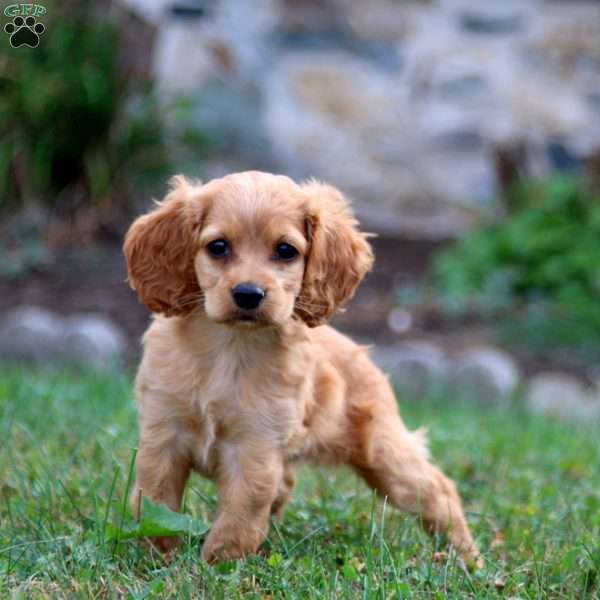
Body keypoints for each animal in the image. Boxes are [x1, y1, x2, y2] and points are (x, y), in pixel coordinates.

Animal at [124, 171, 480, 564]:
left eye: (285, 251)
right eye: (218, 247)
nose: (248, 294)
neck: (230, 347)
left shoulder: (257, 446)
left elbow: (240, 514)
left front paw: (218, 562)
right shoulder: (163, 435)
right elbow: (156, 502)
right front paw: (158, 555)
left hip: (385, 456)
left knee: (438, 490)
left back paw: (468, 559)